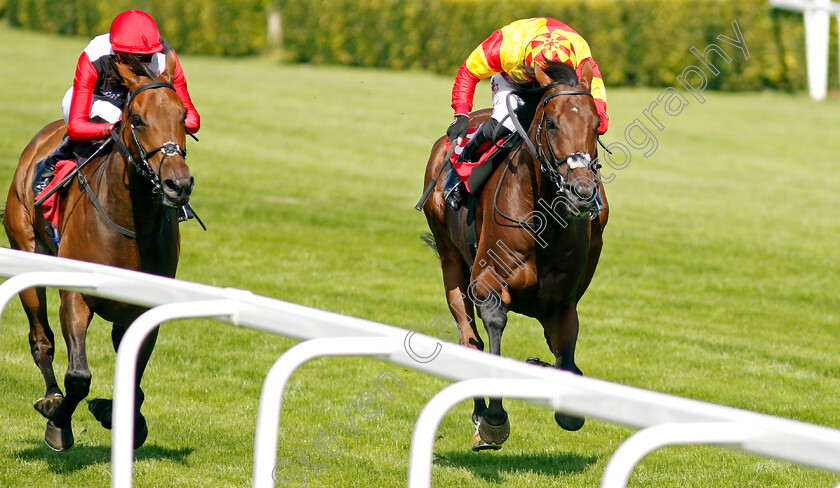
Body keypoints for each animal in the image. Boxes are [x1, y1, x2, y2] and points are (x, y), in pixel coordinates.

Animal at [1, 51, 194, 452]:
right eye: (137, 119)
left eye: (183, 115)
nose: (178, 184)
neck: (129, 223)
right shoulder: (76, 297)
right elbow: (78, 376)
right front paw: (59, 424)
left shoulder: (143, 307)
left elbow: (133, 375)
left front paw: (118, 415)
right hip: (24, 247)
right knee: (41, 340)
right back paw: (51, 399)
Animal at [424, 61, 608, 450]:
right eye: (551, 122)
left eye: (595, 123)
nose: (582, 191)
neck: (543, 223)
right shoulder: (487, 284)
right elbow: (493, 331)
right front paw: (494, 419)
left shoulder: (563, 305)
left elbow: (567, 365)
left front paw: (547, 372)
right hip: (451, 262)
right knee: (470, 339)